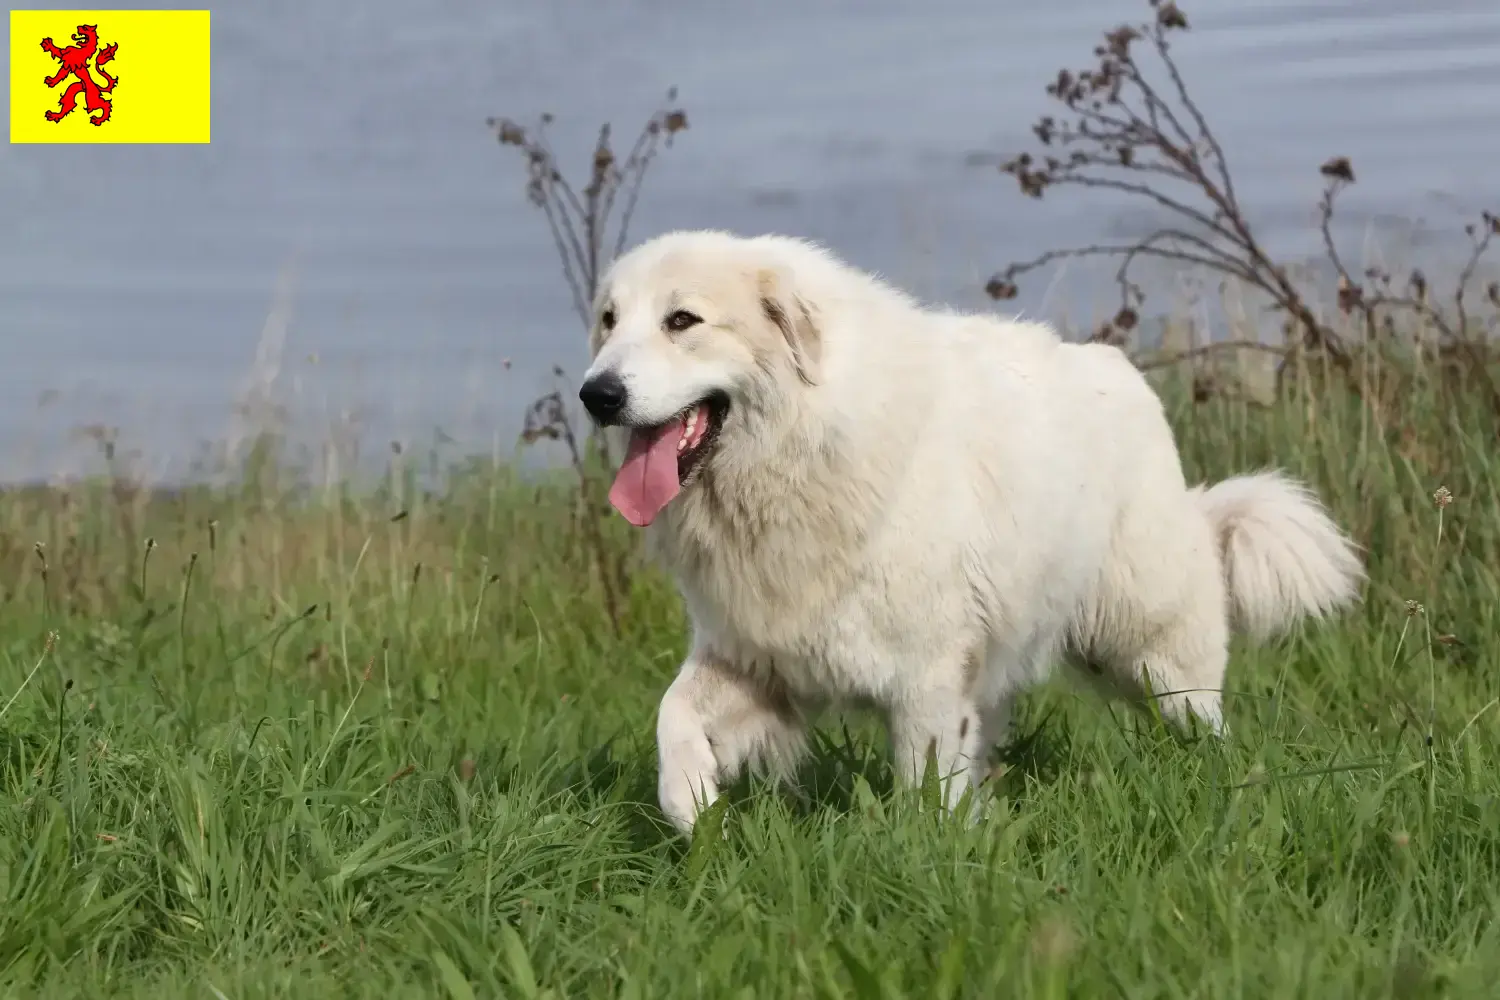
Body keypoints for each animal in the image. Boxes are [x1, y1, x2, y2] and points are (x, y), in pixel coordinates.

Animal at [576, 229, 1374, 839]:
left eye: (683, 321)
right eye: (609, 320)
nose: (596, 395)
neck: (802, 448)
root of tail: (1123, 372)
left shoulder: (925, 678)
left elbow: (924, 786)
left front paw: (926, 858)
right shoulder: (758, 656)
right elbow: (673, 711)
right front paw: (691, 802)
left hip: (1148, 648)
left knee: (1200, 716)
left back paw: (1218, 780)